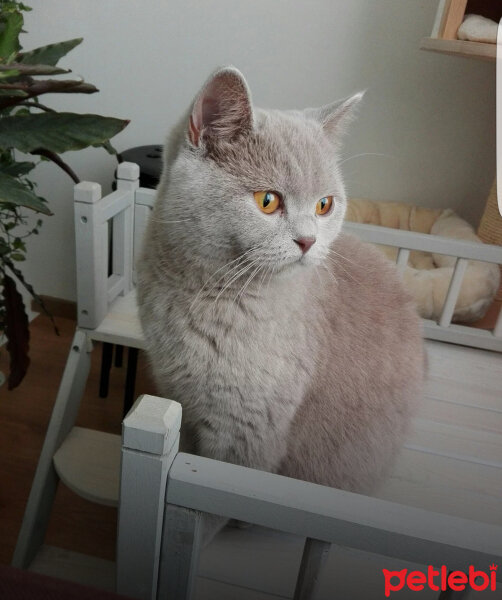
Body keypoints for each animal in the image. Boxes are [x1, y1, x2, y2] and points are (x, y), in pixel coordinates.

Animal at [136, 65, 424, 516]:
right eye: (268, 200)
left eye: (324, 205)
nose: (308, 241)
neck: (201, 294)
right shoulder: (178, 395)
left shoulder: (245, 430)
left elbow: (221, 493)